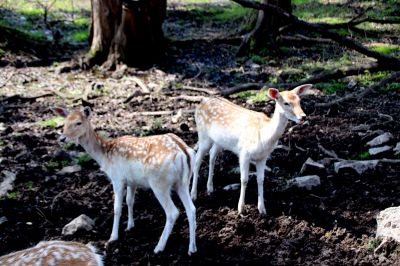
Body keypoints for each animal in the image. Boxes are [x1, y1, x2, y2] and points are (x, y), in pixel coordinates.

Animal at [50, 107, 198, 255]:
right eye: (65, 122)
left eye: (78, 122)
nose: (62, 138)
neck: (105, 156)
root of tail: (184, 153)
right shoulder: (132, 181)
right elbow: (130, 201)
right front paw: (130, 226)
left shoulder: (117, 178)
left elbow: (116, 208)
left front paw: (113, 238)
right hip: (182, 183)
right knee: (191, 209)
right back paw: (192, 249)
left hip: (159, 183)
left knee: (173, 212)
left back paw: (158, 247)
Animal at [191, 84, 312, 215]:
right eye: (286, 103)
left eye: (299, 100)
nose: (303, 117)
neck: (264, 137)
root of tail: (202, 102)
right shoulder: (244, 153)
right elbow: (244, 179)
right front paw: (240, 209)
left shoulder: (263, 157)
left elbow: (261, 180)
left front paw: (262, 210)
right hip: (203, 135)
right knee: (197, 160)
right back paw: (193, 195)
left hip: (219, 141)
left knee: (212, 155)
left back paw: (210, 188)